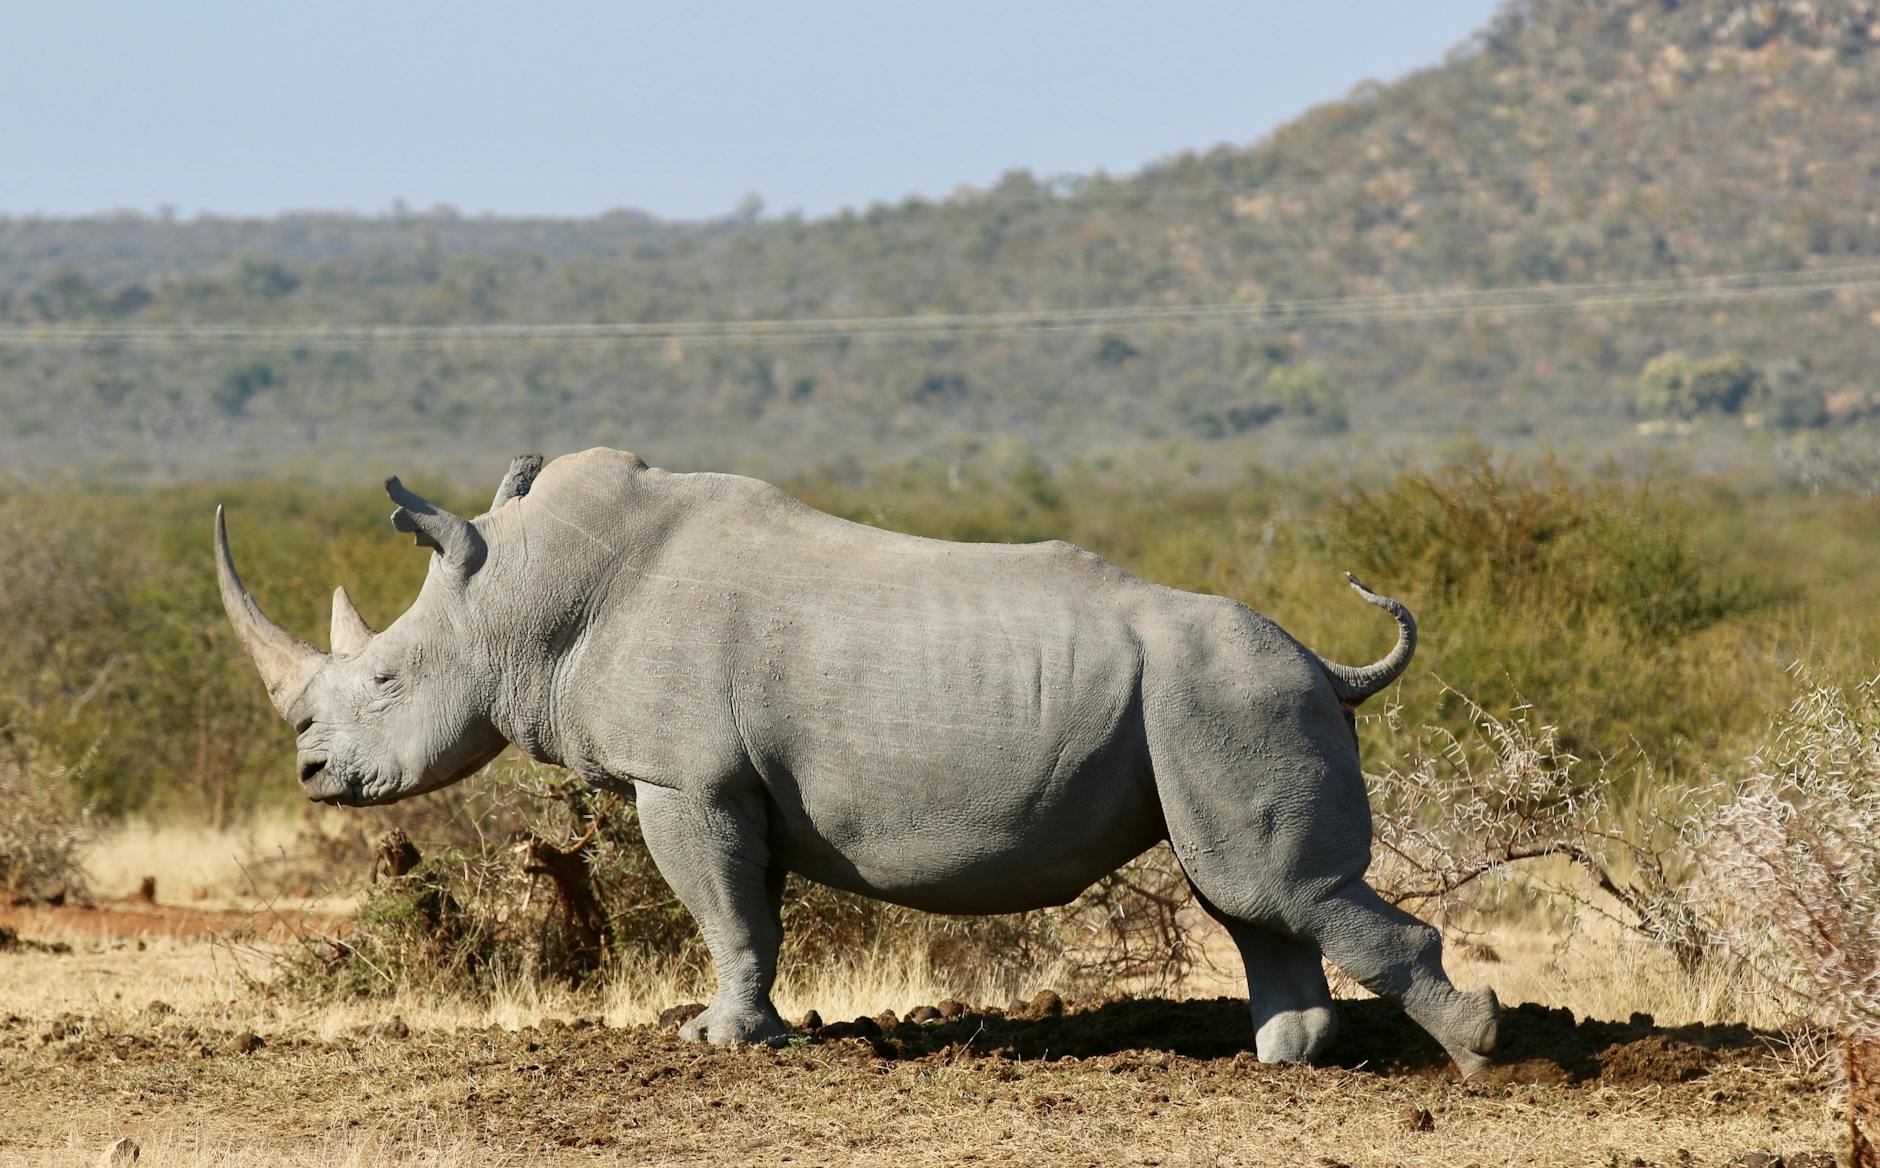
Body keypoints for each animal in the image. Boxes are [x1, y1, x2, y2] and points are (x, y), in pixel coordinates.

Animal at [214, 448, 1499, 1074]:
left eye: (386, 680)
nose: (314, 778)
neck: (526, 595)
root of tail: (1327, 663)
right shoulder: (736, 786)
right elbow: (753, 915)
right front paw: (751, 1030)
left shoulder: (682, 778)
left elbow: (721, 908)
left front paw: (718, 1045)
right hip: (1211, 703)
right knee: (1248, 894)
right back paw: (1282, 1064)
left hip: (1233, 694)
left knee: (1277, 887)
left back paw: (1474, 1055)